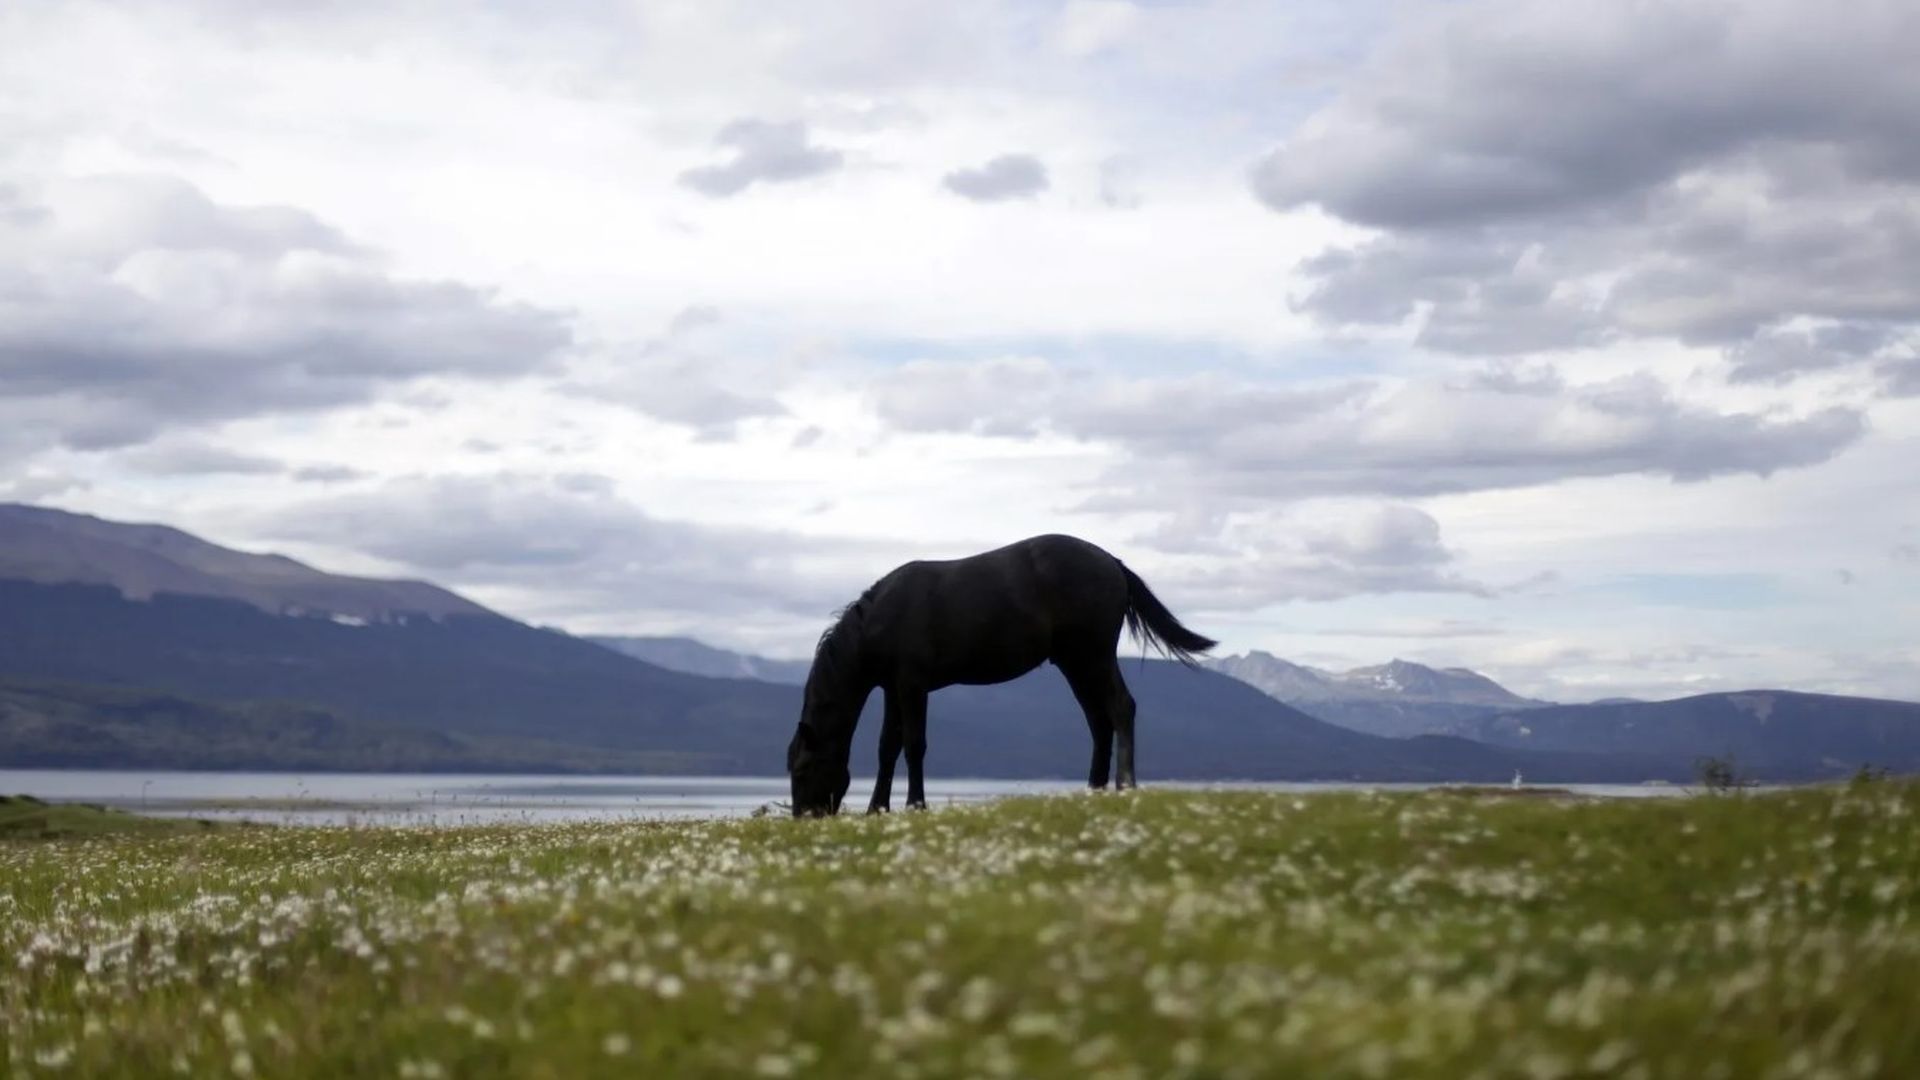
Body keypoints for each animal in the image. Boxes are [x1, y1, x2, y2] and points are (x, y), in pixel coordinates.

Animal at [785, 534, 1216, 817]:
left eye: (803, 770)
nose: (804, 817)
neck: (881, 619)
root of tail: (1113, 563)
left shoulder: (912, 685)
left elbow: (913, 745)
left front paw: (915, 804)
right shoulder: (894, 688)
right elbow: (886, 748)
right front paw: (877, 807)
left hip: (1092, 655)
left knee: (1121, 708)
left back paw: (1125, 785)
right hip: (1076, 662)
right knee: (1099, 720)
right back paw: (1093, 790)